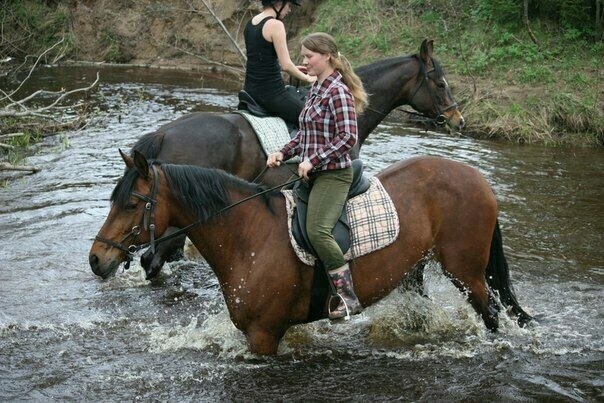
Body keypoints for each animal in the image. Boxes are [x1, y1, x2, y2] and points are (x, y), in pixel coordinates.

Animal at [87, 150, 532, 356]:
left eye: (132, 203)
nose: (96, 259)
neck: (248, 235)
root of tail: (478, 179)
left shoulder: (263, 336)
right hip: (415, 272)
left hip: (465, 272)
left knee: (492, 312)